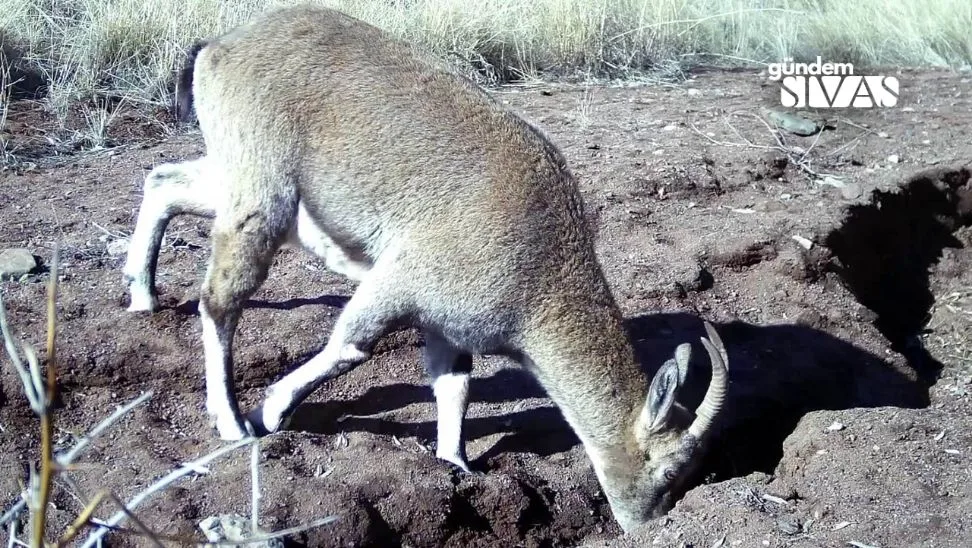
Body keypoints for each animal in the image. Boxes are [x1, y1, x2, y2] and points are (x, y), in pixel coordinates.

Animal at [121, 5, 724, 536]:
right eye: (670, 467)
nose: (648, 524)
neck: (540, 270)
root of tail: (220, 46)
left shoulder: (448, 322)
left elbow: (453, 385)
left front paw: (455, 466)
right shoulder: (400, 280)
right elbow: (351, 346)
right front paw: (271, 409)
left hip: (239, 177)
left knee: (163, 181)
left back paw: (142, 294)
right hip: (261, 189)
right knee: (220, 298)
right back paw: (231, 421)